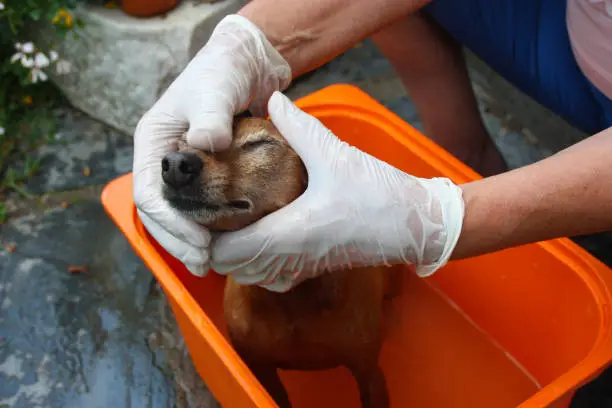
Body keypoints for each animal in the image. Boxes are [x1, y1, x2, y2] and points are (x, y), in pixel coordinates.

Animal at [160, 115, 400, 408]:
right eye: (184, 142)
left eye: (259, 144)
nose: (175, 164)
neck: (291, 300)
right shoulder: (260, 371)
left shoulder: (368, 370)